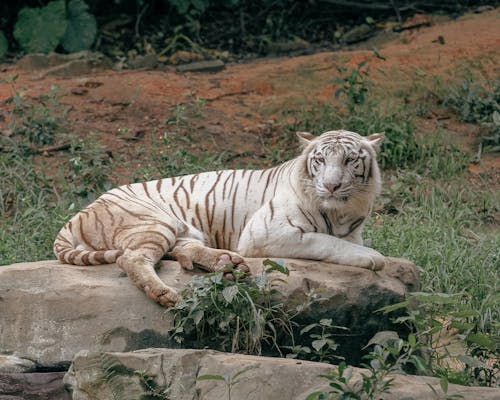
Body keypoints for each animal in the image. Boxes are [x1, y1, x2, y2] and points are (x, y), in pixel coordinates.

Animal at [54, 130, 384, 308]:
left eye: (350, 160)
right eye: (320, 160)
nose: (331, 185)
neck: (339, 210)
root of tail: (77, 215)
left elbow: (339, 240)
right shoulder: (266, 232)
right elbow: (326, 242)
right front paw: (372, 257)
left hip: (183, 230)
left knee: (182, 250)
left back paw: (228, 263)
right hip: (154, 222)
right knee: (131, 258)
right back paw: (165, 293)